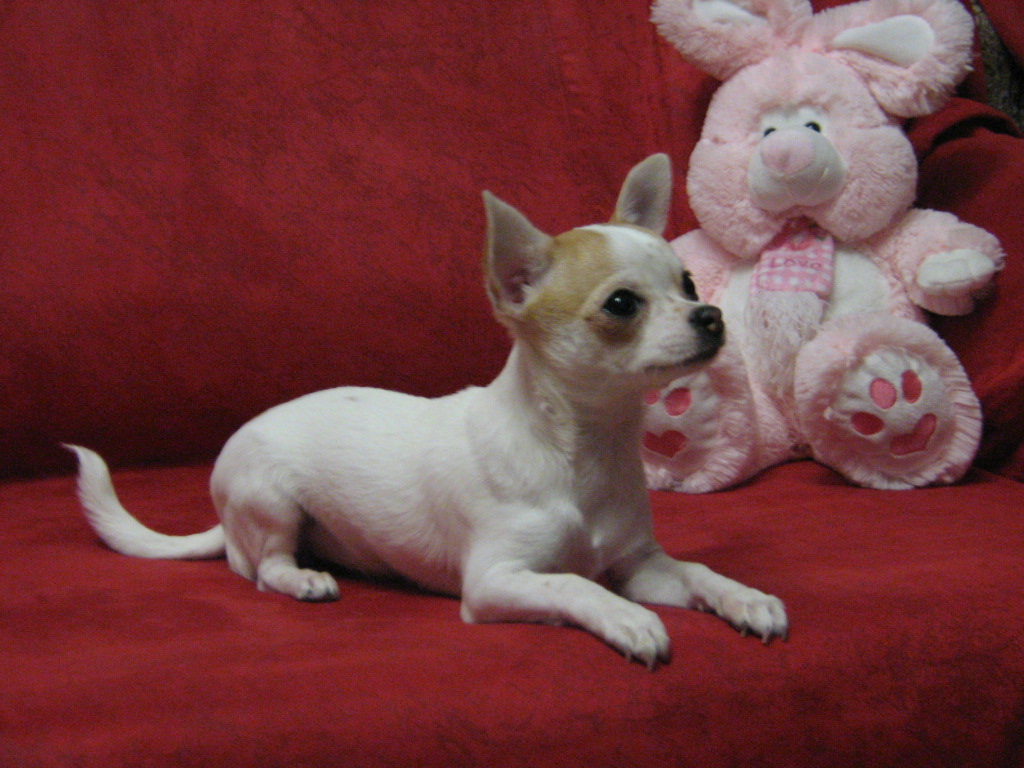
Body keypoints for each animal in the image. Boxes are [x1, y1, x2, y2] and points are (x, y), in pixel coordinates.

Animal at [68, 154, 787, 668]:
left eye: (688, 284)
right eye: (621, 305)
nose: (711, 315)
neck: (590, 448)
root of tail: (222, 515)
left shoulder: (644, 566)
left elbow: (698, 571)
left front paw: (746, 597)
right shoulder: (496, 582)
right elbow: (577, 587)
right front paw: (630, 619)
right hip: (269, 502)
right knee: (263, 568)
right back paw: (303, 580)